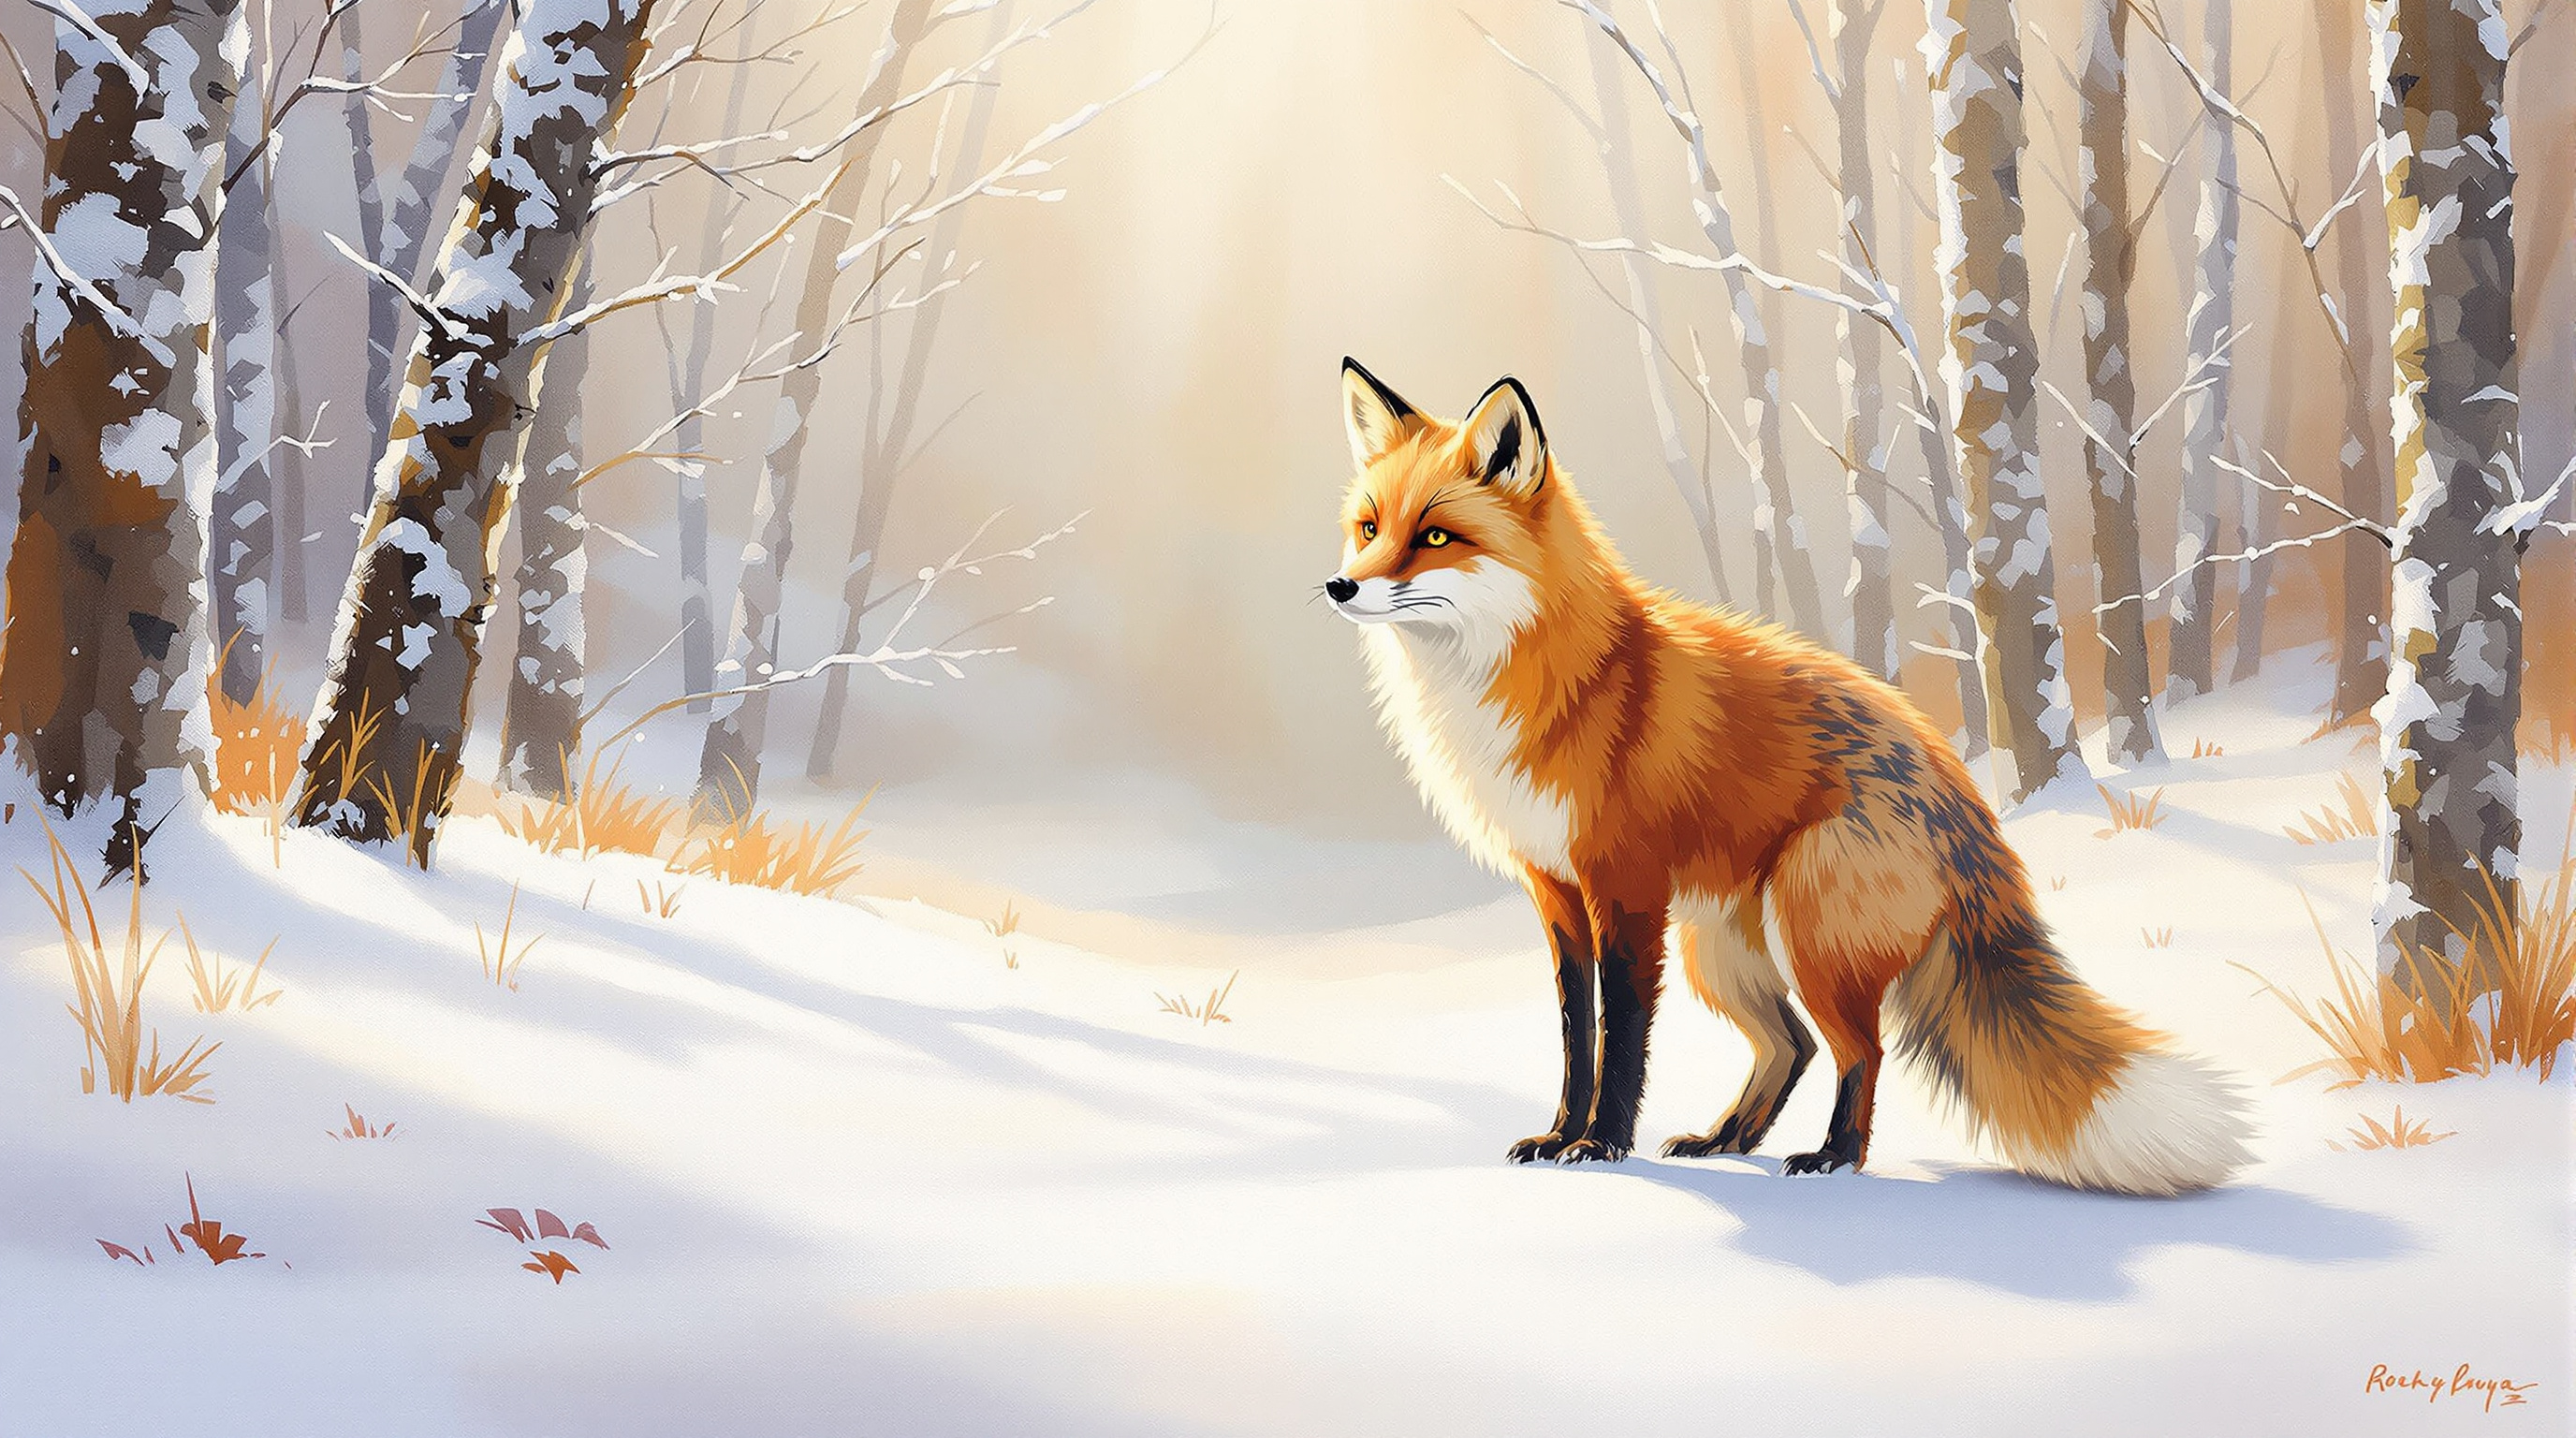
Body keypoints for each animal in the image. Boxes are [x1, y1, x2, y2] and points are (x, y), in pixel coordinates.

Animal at [1325, 357, 2252, 1196]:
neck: (1545, 677)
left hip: (1805, 933)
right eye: (1369, 529)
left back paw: (1834, 1157)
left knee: (1860, 1050)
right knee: (1793, 1045)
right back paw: (1725, 1140)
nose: (1339, 586)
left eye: (1435, 537)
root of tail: (1961, 790)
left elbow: (1621, 1042)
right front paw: (1559, 1135)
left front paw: (1602, 1145)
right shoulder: (1555, 891)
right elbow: (1574, 1037)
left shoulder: (1624, 889)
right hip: (1722, 948)